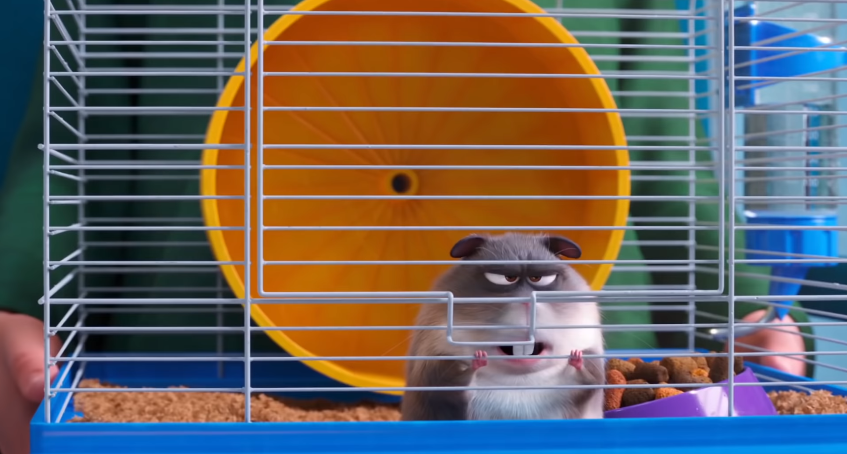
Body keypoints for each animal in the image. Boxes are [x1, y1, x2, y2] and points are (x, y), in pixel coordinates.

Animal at [400, 232, 605, 421]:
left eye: (539, 278)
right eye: (505, 278)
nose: (527, 303)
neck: (517, 382)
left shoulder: (586, 375)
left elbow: (586, 380)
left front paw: (576, 357)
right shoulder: (435, 370)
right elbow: (452, 386)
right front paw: (477, 360)